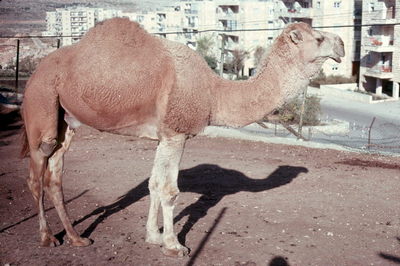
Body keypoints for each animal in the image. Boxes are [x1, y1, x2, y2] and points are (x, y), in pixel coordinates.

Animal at [19, 17, 344, 256]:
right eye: (318, 39)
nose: (341, 44)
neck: (214, 92)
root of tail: (35, 73)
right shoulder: (177, 134)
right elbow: (170, 190)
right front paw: (174, 245)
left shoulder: (164, 137)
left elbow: (152, 184)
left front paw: (153, 236)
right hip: (41, 105)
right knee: (36, 174)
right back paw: (47, 238)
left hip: (67, 121)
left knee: (55, 174)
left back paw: (76, 238)